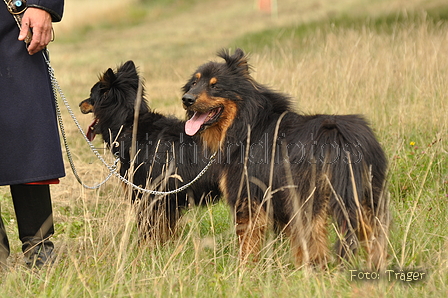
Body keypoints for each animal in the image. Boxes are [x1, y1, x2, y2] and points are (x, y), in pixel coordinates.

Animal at [80, 61, 222, 242]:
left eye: (91, 96)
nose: (79, 104)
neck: (129, 124)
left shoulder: (147, 195)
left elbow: (149, 227)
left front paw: (146, 246)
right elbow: (166, 228)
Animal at [181, 49, 388, 270]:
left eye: (216, 86)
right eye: (194, 83)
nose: (186, 99)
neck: (247, 122)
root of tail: (341, 137)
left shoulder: (247, 198)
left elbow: (247, 244)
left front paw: (244, 270)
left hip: (309, 200)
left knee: (317, 244)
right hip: (365, 197)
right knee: (375, 236)